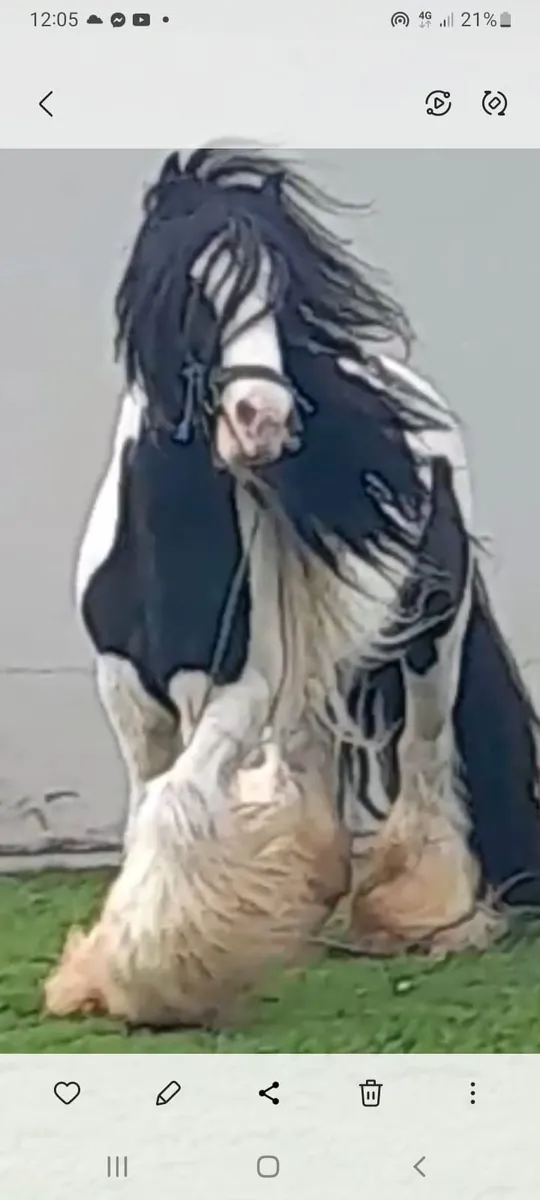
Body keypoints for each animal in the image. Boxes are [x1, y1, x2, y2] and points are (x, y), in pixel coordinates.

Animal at [74, 145, 540, 960]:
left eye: (281, 294)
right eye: (193, 286)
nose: (262, 419)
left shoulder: (236, 690)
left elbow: (175, 802)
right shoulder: (124, 688)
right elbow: (148, 805)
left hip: (432, 638)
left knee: (424, 756)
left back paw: (429, 915)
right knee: (314, 754)